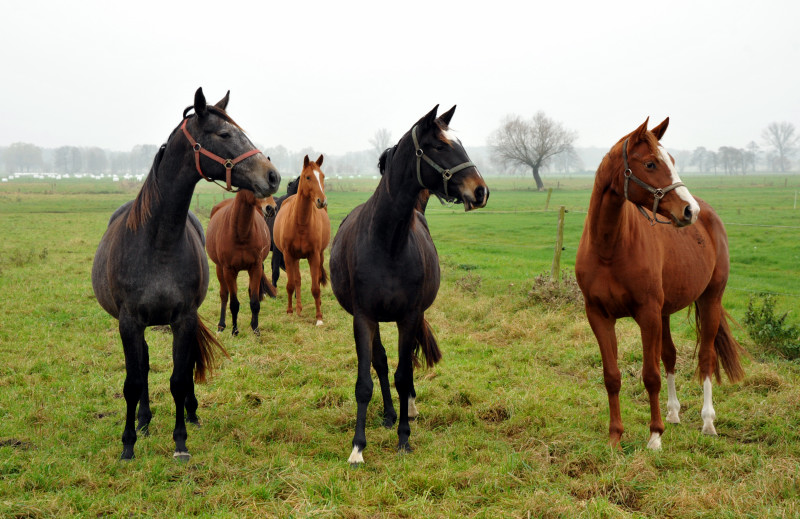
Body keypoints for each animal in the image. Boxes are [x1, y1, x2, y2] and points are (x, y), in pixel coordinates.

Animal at [206, 190, 278, 338]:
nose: (271, 208)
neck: (241, 232)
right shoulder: (229, 270)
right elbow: (234, 303)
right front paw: (235, 331)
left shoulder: (255, 268)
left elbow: (255, 301)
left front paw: (256, 330)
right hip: (219, 269)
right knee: (224, 295)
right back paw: (221, 325)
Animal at [270, 154, 330, 324]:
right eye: (308, 177)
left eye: (322, 176)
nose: (322, 201)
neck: (301, 223)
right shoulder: (288, 255)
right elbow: (291, 284)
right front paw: (290, 311)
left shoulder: (314, 255)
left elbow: (315, 287)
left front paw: (319, 318)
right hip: (294, 258)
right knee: (297, 280)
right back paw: (298, 309)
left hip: (320, 255)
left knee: (316, 278)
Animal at [328, 103, 490, 466]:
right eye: (440, 146)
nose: (480, 190)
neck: (387, 240)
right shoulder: (363, 317)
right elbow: (366, 379)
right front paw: (358, 447)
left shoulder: (409, 316)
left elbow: (404, 376)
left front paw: (404, 439)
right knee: (381, 362)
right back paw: (389, 414)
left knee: (407, 365)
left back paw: (407, 411)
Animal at [576, 118, 744, 450]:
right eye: (650, 163)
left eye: (673, 161)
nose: (690, 211)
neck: (609, 248)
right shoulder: (599, 316)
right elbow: (612, 376)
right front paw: (615, 436)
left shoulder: (647, 314)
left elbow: (650, 375)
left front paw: (654, 436)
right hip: (666, 312)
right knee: (670, 356)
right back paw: (674, 413)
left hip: (710, 300)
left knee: (706, 357)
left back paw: (707, 422)